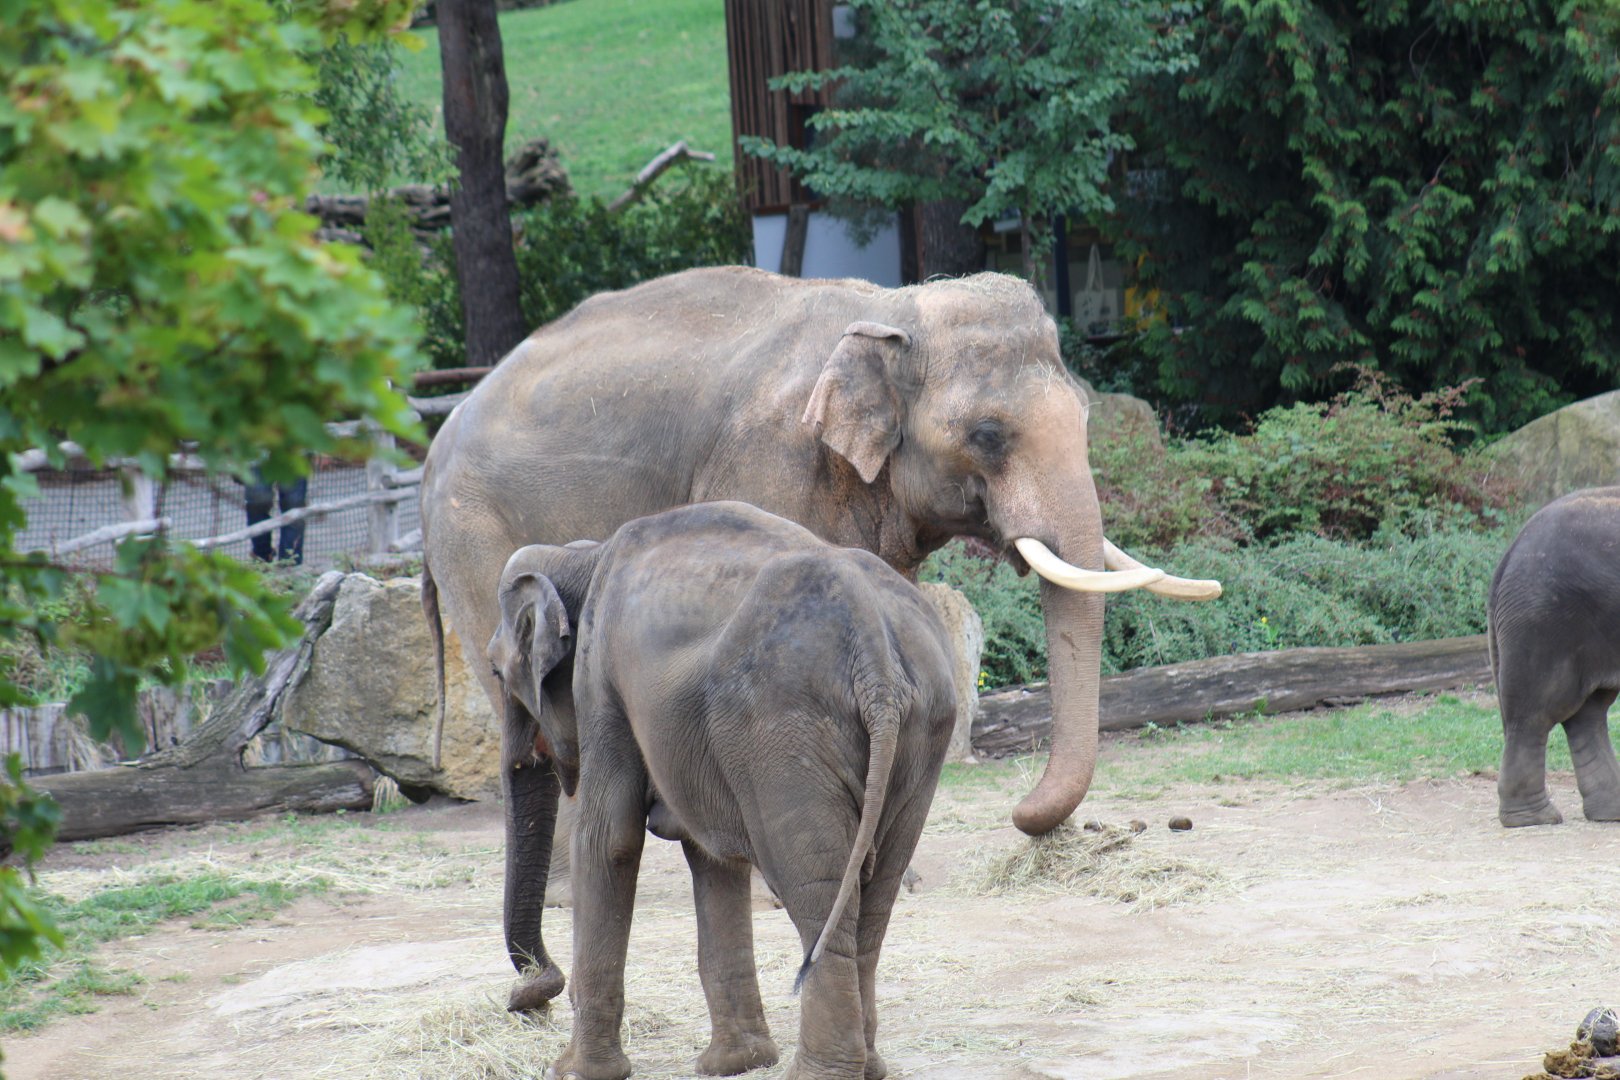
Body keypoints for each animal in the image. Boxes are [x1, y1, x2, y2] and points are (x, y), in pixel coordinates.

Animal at [418, 266, 1220, 1009]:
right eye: (988, 435)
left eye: (1085, 417)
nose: (1025, 817)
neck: (895, 311)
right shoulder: (770, 461)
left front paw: (896, 876)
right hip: (472, 532)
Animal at [488, 501, 956, 1080]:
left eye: (495, 672)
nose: (527, 999)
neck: (583, 555)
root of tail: (873, 650)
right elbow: (710, 857)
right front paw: (737, 1063)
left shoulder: (601, 678)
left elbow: (609, 839)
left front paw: (573, 1071)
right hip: (921, 729)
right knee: (876, 894)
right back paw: (868, 1067)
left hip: (781, 729)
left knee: (816, 891)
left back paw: (818, 1072)